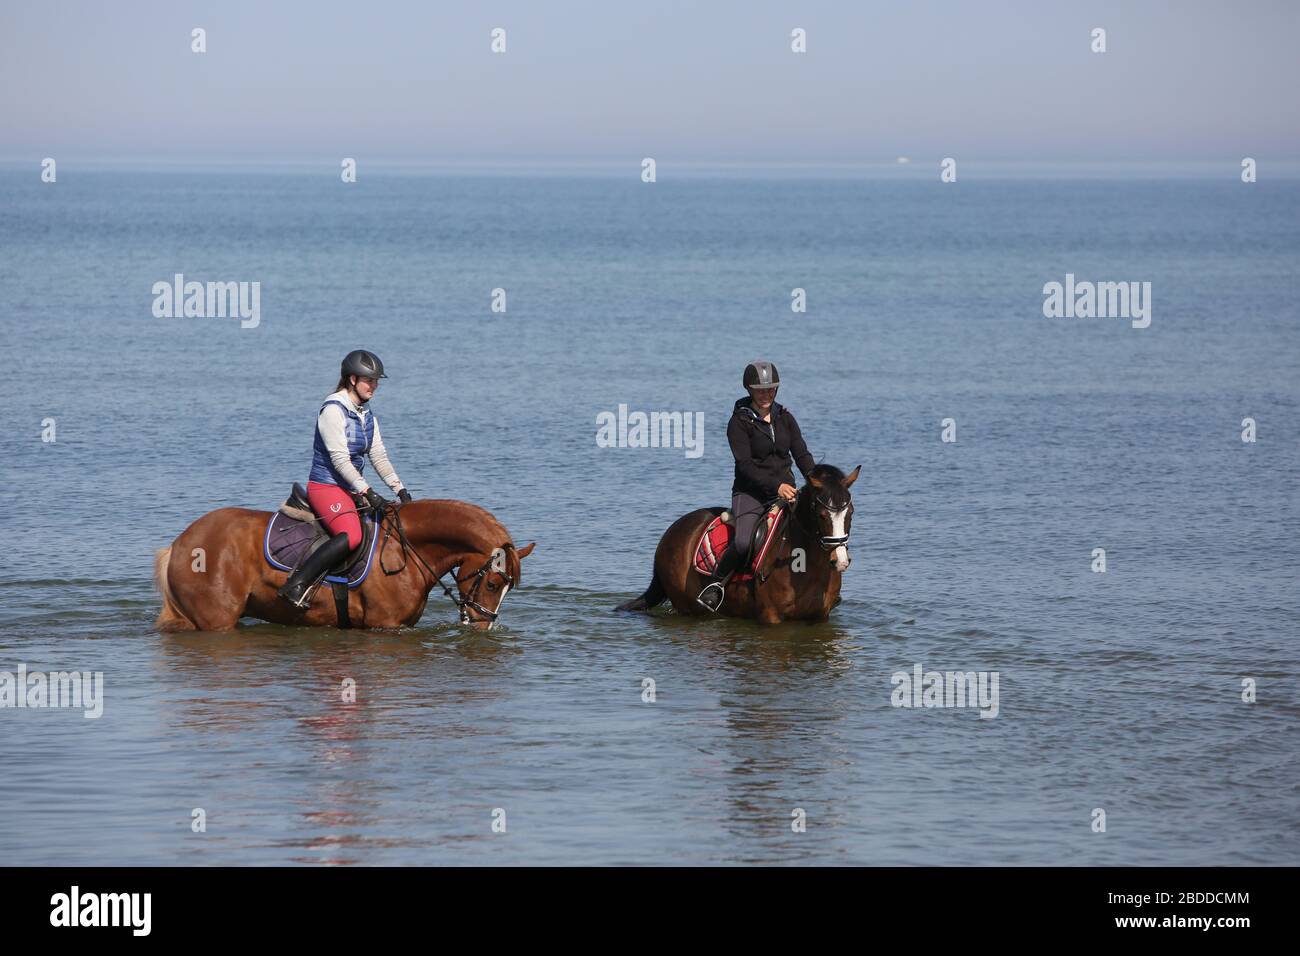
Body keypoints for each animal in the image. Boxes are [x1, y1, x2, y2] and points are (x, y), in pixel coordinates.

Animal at [156, 496, 533, 632]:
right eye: (492, 584)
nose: (482, 627)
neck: (407, 550)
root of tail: (178, 545)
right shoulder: (384, 626)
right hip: (216, 621)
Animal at [618, 465, 863, 629]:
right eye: (821, 515)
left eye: (850, 512)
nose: (840, 560)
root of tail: (671, 533)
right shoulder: (770, 617)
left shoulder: (821, 617)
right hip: (685, 606)